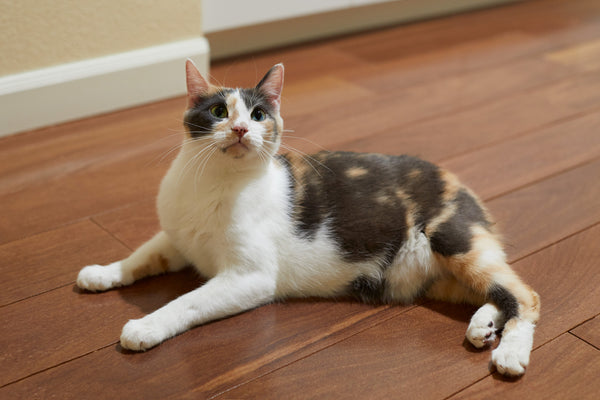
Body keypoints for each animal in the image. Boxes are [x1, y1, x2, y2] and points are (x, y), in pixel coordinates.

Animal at [77, 58, 540, 376]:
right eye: (218, 112)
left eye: (258, 115)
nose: (241, 129)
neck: (215, 182)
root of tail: (460, 183)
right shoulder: (176, 238)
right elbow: (142, 255)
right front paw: (102, 273)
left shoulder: (250, 277)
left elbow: (186, 301)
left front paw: (145, 326)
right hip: (441, 276)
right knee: (496, 292)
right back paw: (483, 325)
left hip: (454, 240)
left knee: (524, 295)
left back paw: (510, 352)